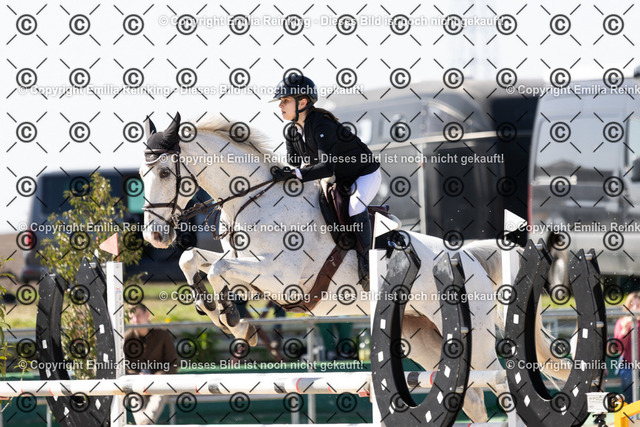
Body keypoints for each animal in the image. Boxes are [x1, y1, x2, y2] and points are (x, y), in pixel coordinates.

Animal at [139, 112, 569, 422]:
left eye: (165, 172)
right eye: (141, 175)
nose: (155, 236)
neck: (254, 200)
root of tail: (469, 257)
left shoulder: (283, 277)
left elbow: (217, 268)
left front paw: (233, 319)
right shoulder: (256, 275)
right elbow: (196, 261)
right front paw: (221, 311)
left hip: (475, 341)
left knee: (502, 388)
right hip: (426, 340)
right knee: (474, 401)